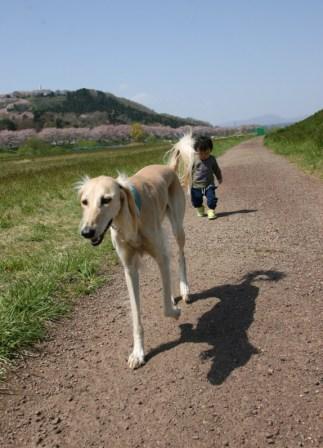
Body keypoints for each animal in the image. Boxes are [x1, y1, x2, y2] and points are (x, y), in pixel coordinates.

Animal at [77, 132, 196, 368]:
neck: (129, 220)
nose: (87, 232)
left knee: (180, 257)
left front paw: (175, 312)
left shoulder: (159, 253)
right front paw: (138, 353)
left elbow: (166, 308)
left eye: (106, 199)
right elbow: (136, 316)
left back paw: (184, 289)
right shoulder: (129, 269)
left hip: (177, 228)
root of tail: (168, 167)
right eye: (85, 201)